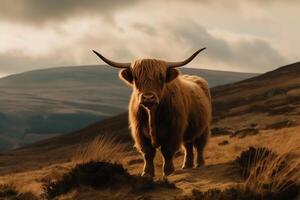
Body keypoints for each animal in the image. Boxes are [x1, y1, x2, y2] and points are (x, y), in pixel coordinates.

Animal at [92, 49, 212, 177]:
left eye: (161, 77)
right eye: (136, 78)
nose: (148, 97)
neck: (152, 114)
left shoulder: (175, 129)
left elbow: (167, 151)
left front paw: (168, 171)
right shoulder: (139, 132)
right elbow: (148, 153)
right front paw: (147, 173)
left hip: (204, 127)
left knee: (199, 145)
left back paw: (200, 164)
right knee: (188, 145)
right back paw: (186, 165)